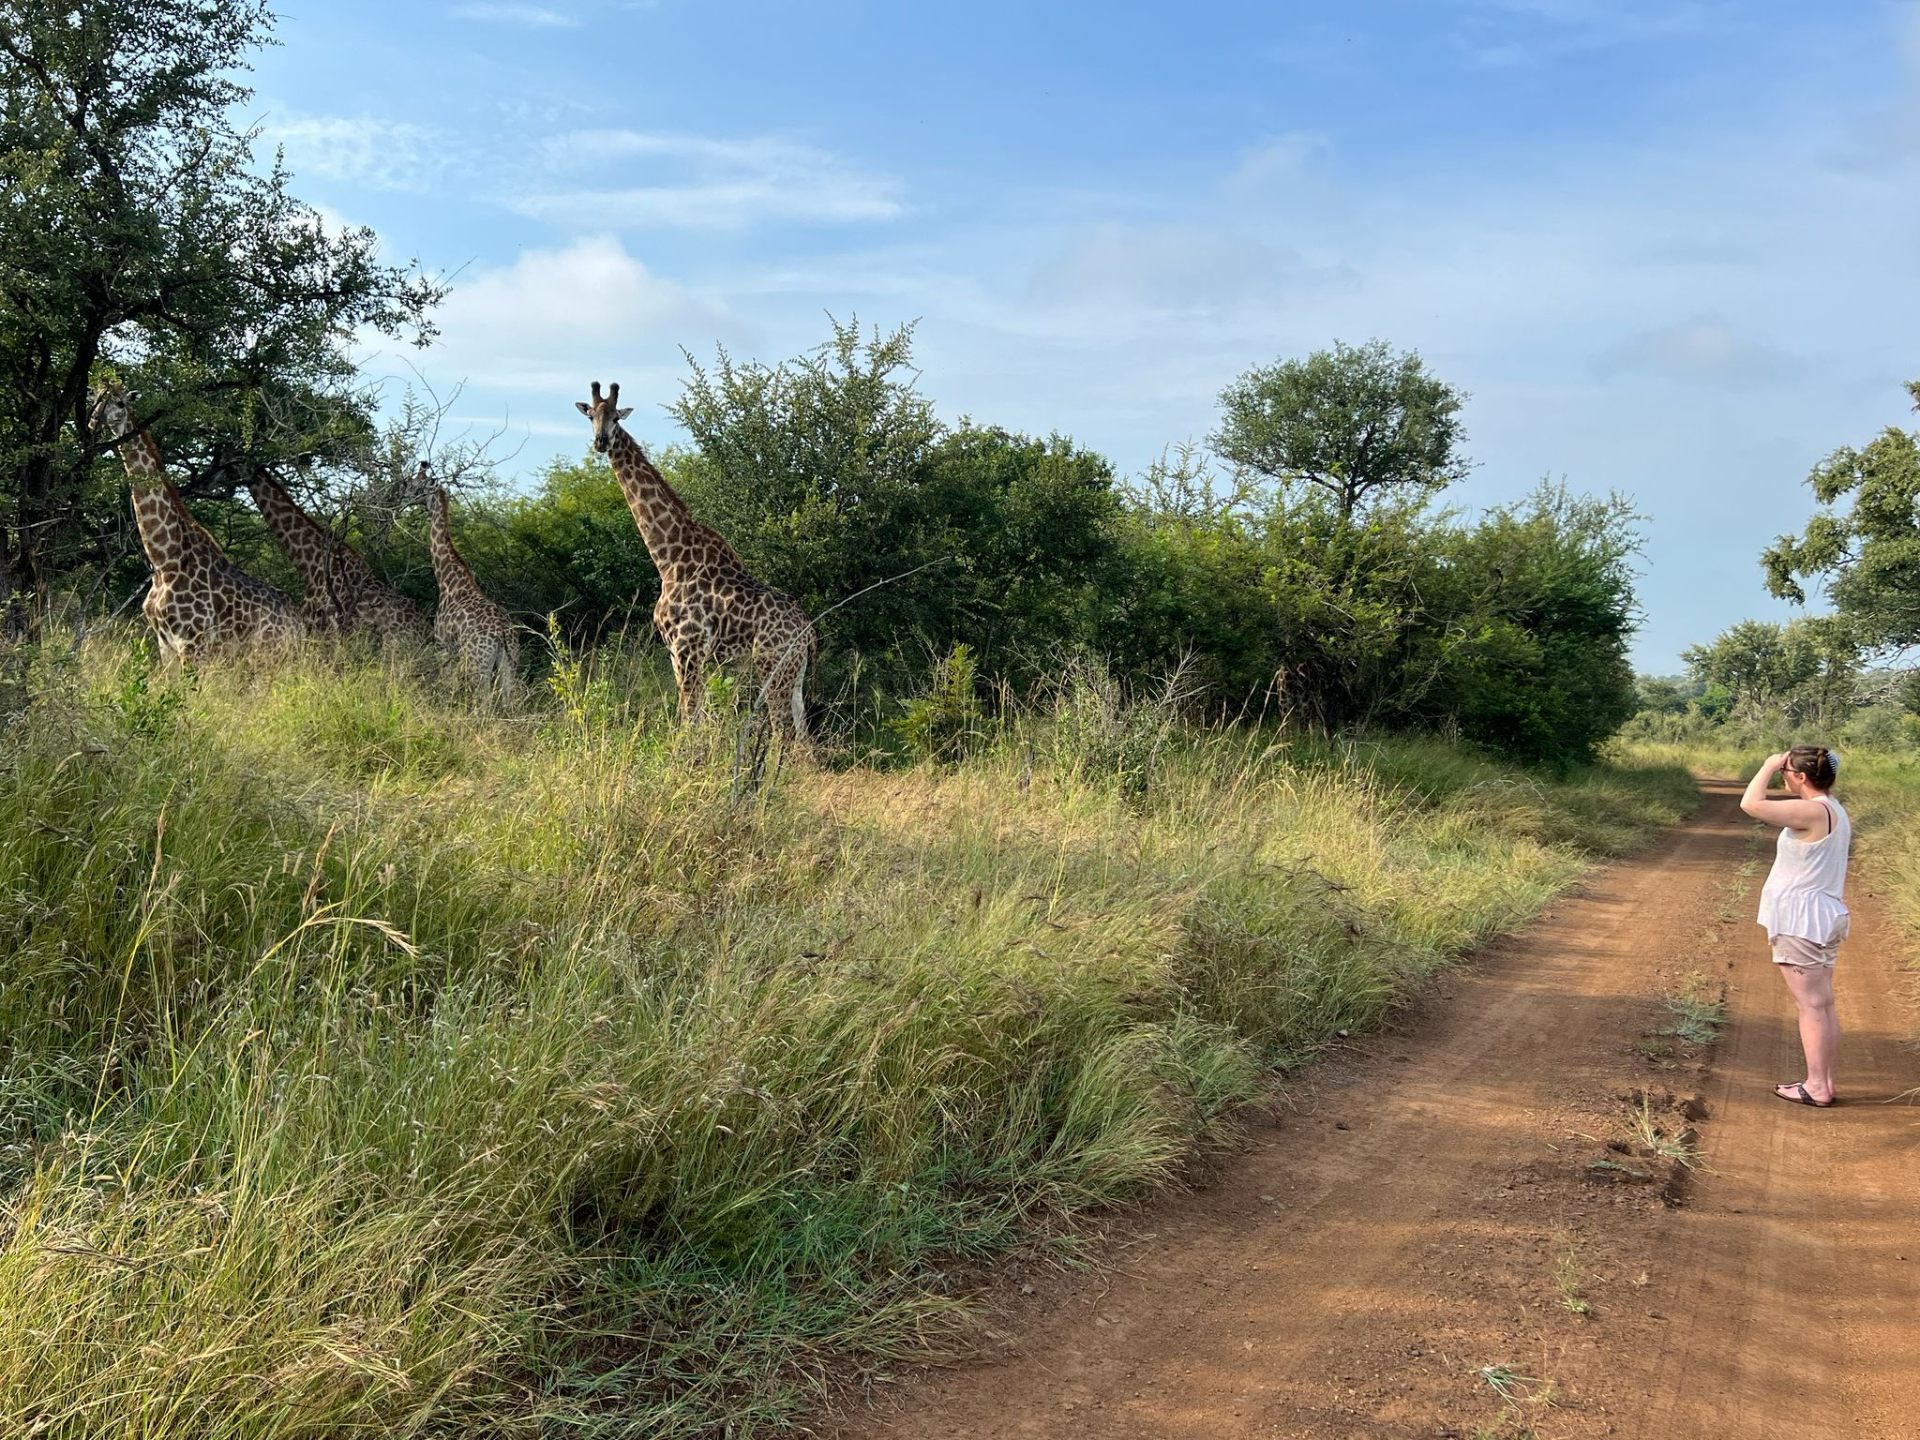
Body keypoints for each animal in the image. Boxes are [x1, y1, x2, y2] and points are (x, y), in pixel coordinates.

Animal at [88, 384, 305, 662]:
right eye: (96, 399)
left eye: (120, 403)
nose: (94, 421)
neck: (164, 561)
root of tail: (299, 624)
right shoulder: (165, 644)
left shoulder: (192, 642)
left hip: (270, 652)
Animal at [420, 467, 520, 706]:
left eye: (422, 487)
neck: (447, 581)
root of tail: (502, 633)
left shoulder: (443, 646)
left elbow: (446, 685)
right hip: (509, 663)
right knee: (509, 701)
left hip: (479, 663)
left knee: (483, 702)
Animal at [575, 381, 815, 740]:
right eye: (591, 415)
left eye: (616, 417)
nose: (601, 442)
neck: (669, 557)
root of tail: (808, 632)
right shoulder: (684, 653)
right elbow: (696, 717)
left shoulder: (687, 647)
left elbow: (689, 720)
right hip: (794, 672)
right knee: (802, 734)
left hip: (772, 666)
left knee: (782, 728)